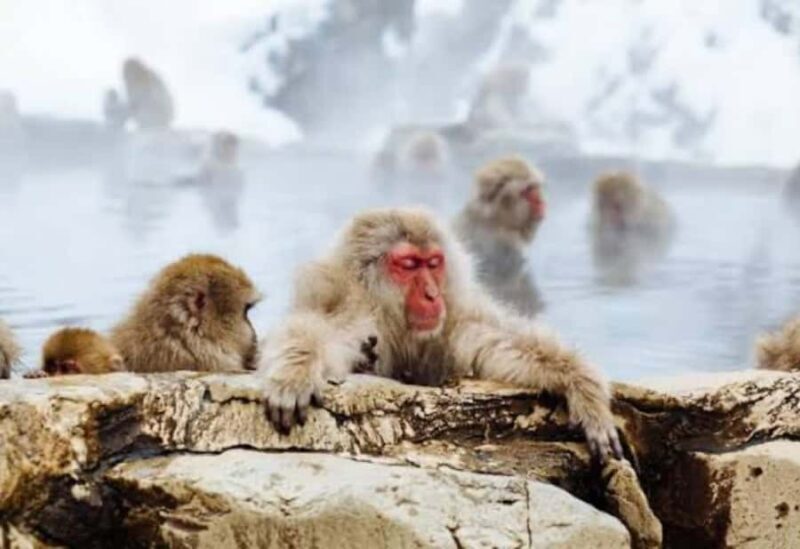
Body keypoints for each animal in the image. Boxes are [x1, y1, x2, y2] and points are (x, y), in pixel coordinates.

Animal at [259, 208, 623, 462]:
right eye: (408, 264)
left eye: (433, 263)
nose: (432, 295)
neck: (393, 320)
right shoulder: (353, 311)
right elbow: (320, 333)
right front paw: (295, 372)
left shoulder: (454, 320)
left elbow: (501, 343)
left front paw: (582, 385)